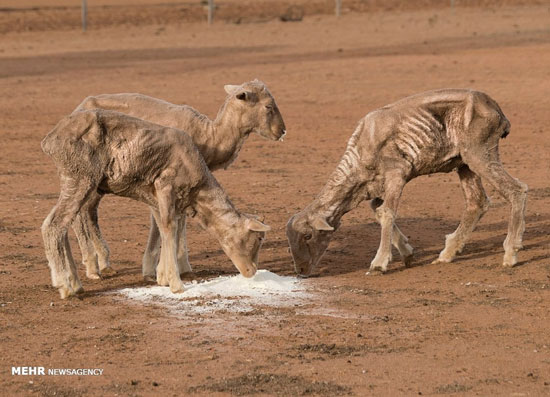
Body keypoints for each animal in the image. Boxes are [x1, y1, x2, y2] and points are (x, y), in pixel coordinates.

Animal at [40, 108, 272, 296]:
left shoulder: (155, 197)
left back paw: (75, 283)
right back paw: (65, 286)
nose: (251, 271)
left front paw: (162, 278)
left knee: (64, 224)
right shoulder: (165, 186)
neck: (199, 194)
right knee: (53, 225)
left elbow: (163, 227)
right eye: (259, 238)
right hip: (80, 177)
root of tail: (49, 139)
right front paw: (176, 284)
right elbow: (170, 228)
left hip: (75, 180)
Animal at [71, 79, 286, 280]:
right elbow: (172, 222)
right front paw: (174, 267)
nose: (282, 131)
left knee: (89, 211)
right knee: (79, 213)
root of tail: (78, 108)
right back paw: (92, 266)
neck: (211, 136)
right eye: (268, 106)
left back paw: (104, 262)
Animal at [286, 89, 528, 276]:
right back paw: (447, 254)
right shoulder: (376, 188)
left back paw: (510, 253)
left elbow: (387, 213)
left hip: (479, 153)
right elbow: (378, 210)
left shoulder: (396, 174)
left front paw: (379, 264)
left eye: (308, 235)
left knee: (517, 190)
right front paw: (408, 253)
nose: (301, 272)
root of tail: (498, 112)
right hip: (464, 163)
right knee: (477, 202)